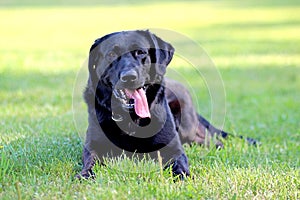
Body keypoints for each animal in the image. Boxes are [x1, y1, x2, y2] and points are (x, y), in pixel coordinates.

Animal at [77, 30, 255, 180]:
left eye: (141, 52)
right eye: (111, 54)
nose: (129, 77)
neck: (131, 120)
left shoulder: (173, 148)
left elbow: (180, 162)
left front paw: (184, 176)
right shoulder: (93, 146)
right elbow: (91, 160)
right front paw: (85, 174)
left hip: (187, 128)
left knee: (211, 140)